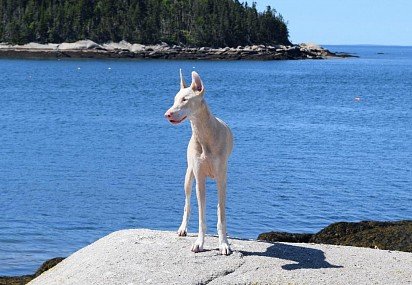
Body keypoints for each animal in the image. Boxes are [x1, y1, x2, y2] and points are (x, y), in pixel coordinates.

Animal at [165, 70, 235, 254]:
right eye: (175, 99)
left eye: (185, 99)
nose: (167, 114)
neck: (205, 135)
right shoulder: (200, 179)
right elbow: (201, 216)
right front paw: (199, 243)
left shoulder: (221, 179)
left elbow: (221, 214)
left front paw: (224, 244)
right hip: (188, 176)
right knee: (187, 204)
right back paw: (183, 228)